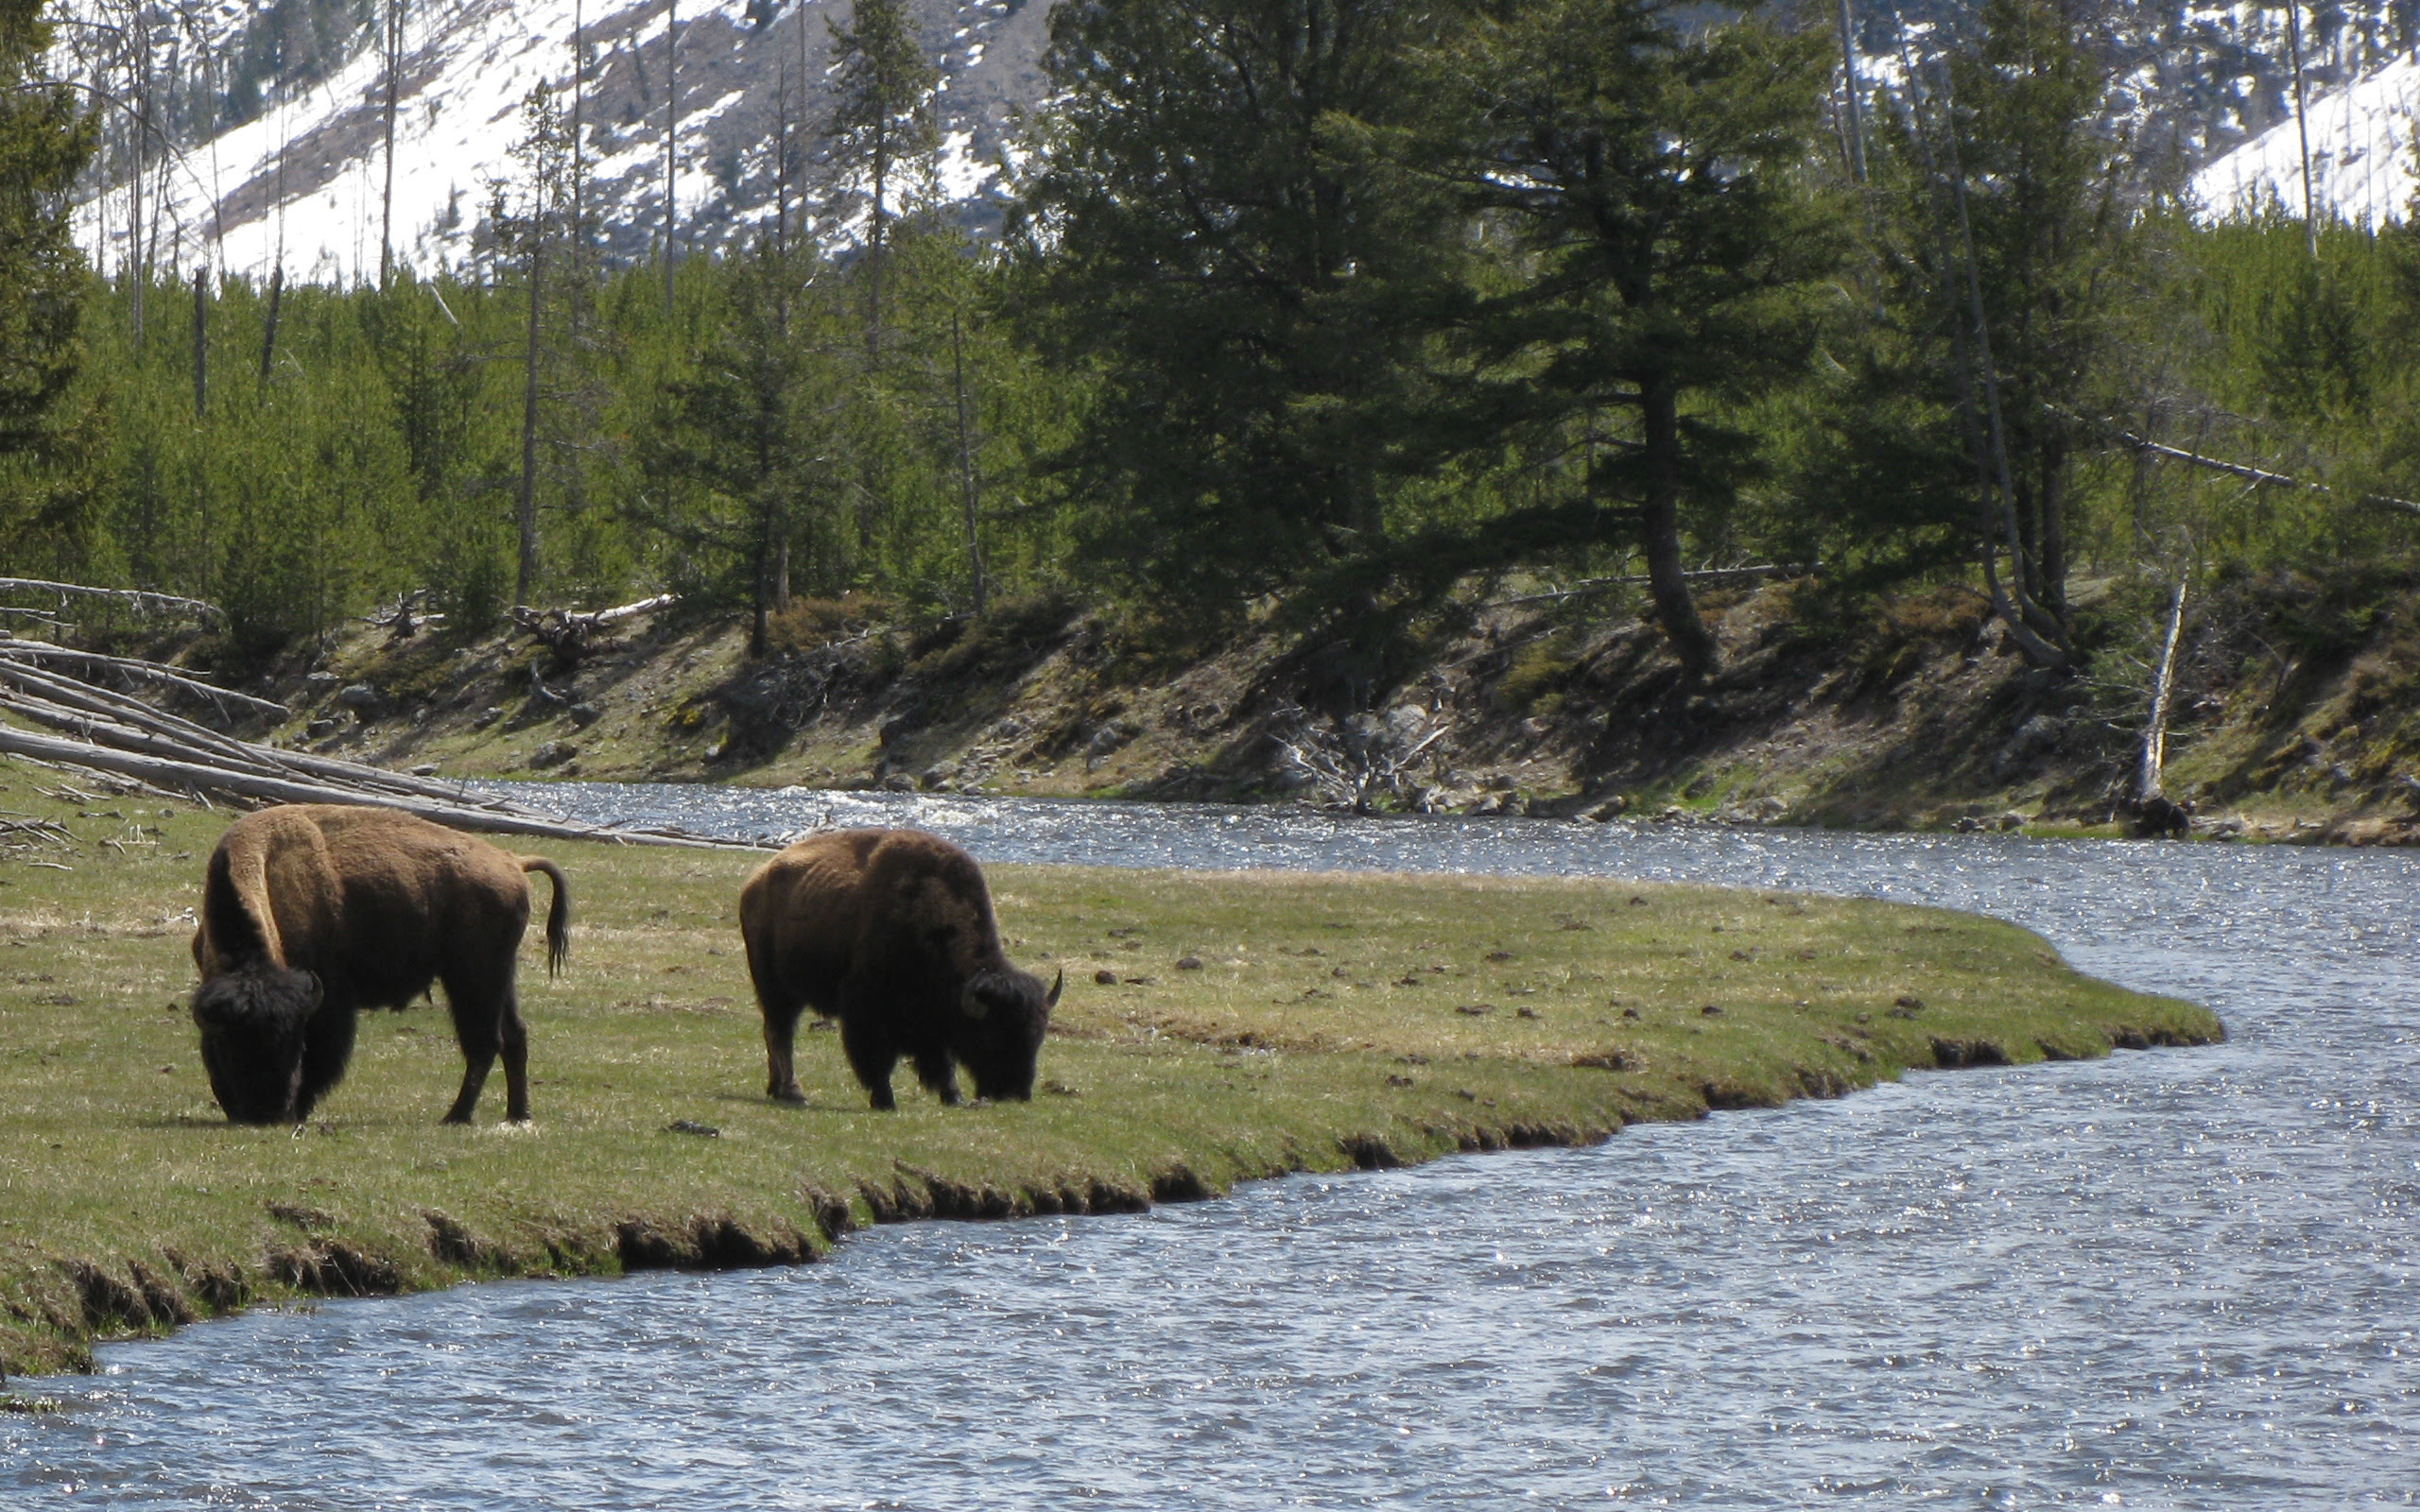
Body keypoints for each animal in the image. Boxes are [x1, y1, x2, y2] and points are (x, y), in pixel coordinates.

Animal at [186, 802, 568, 1122]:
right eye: (227, 1047)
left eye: (294, 1044)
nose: (266, 1113)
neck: (268, 870)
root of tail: (513, 861)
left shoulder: (329, 1001)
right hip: (499, 975)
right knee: (514, 1035)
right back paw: (517, 1114)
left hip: (472, 976)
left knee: (485, 1043)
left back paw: (456, 1116)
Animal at [740, 827, 1064, 1108]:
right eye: (990, 1035)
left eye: (1038, 1036)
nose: (1016, 1093)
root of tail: (755, 883)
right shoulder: (867, 1010)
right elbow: (878, 1058)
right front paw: (884, 1100)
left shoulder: (932, 1023)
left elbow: (941, 1061)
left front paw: (953, 1097)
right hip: (775, 988)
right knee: (780, 1034)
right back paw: (793, 1092)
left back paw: (777, 1089)